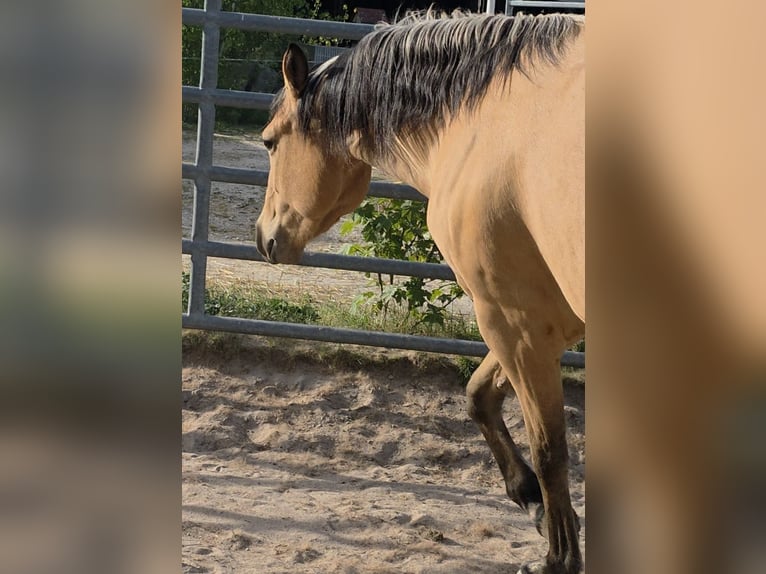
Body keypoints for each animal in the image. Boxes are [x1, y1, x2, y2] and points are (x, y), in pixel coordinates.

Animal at [255, 11, 584, 574]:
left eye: (271, 142)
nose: (263, 238)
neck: (484, 117)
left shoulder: (513, 319)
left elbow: (550, 449)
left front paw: (557, 557)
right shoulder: (542, 321)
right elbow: (478, 397)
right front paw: (533, 503)